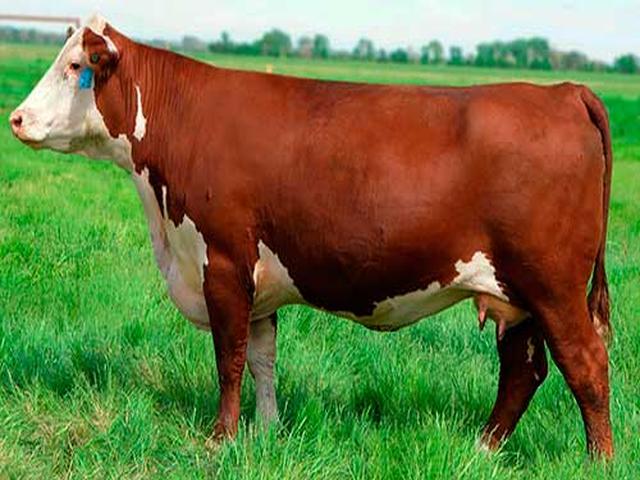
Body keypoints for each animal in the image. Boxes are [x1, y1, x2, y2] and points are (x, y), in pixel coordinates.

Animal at [9, 15, 613, 458]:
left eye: (75, 66)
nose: (15, 118)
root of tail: (563, 91)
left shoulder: (222, 262)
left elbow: (228, 359)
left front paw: (220, 440)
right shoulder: (256, 282)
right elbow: (262, 359)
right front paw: (267, 432)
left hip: (553, 285)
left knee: (586, 364)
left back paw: (597, 460)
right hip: (514, 294)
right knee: (524, 370)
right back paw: (482, 448)